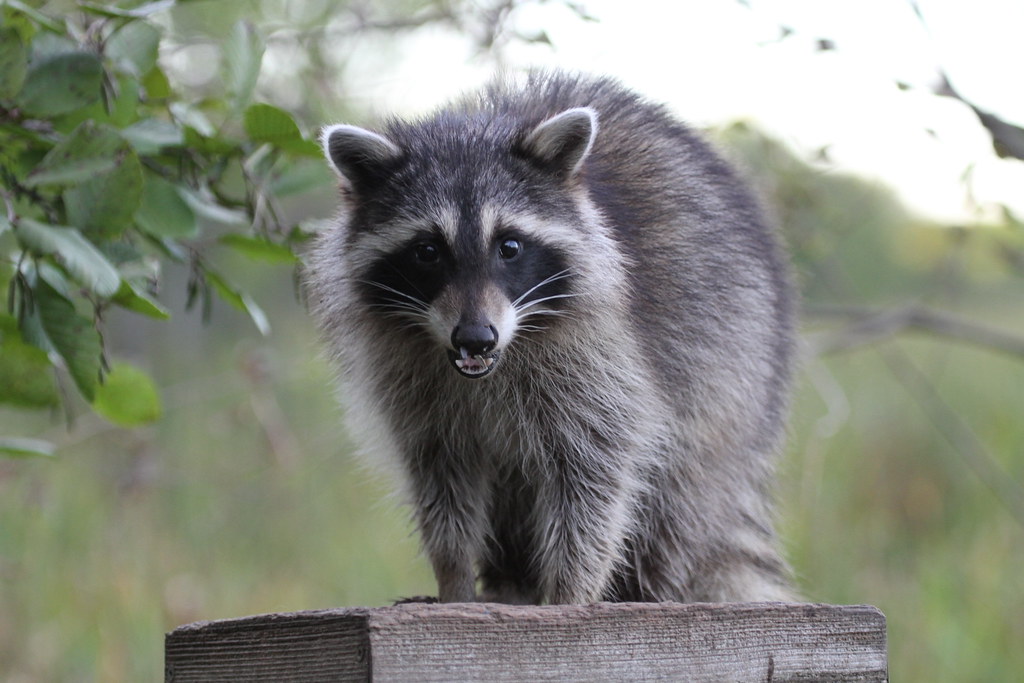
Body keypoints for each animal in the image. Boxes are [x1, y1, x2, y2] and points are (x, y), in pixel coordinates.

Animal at [306, 71, 796, 605]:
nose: (475, 337)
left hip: (728, 377)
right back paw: (509, 582)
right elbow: (442, 482)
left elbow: (594, 473)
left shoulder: (604, 355)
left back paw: (651, 588)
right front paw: (454, 582)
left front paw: (568, 595)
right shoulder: (409, 383)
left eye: (510, 246)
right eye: (427, 251)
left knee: (675, 499)